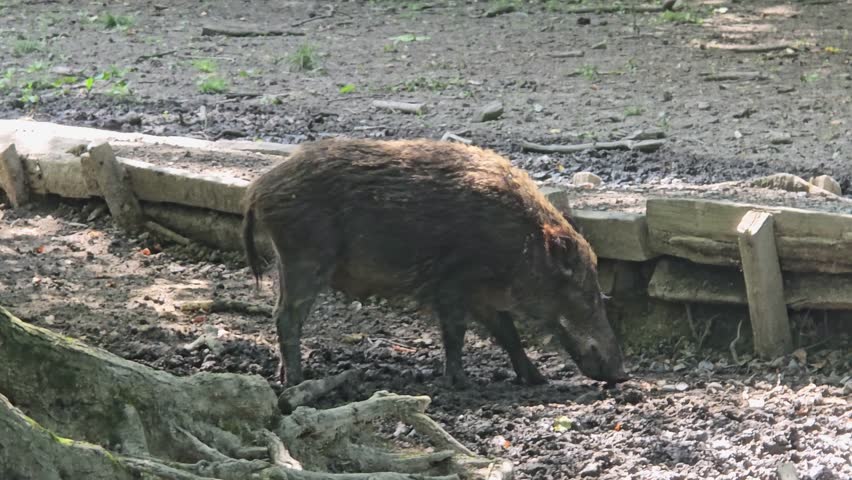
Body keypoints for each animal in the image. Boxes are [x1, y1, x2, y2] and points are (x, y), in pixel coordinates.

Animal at [242, 138, 628, 387]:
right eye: (585, 294)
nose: (621, 375)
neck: (520, 246)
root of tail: (259, 189)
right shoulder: (452, 284)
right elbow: (456, 333)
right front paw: (460, 384)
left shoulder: (481, 295)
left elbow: (508, 333)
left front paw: (537, 380)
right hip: (305, 259)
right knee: (286, 317)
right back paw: (297, 382)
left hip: (286, 261)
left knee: (279, 314)